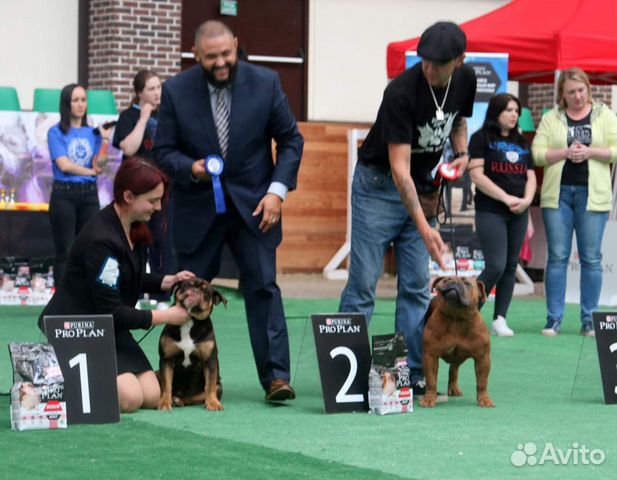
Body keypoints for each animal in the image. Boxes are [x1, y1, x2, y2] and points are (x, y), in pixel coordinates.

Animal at [159, 280, 226, 410]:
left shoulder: (210, 361)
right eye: (187, 285)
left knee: (194, 397)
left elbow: (210, 385)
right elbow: (166, 384)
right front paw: (164, 402)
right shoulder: (167, 360)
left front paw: (213, 403)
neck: (189, 321)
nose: (196, 290)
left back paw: (179, 400)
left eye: (206, 292)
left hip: (219, 386)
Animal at [418, 276, 490, 406]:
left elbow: (482, 382)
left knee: (454, 369)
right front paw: (429, 399)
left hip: (458, 358)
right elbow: (431, 381)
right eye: (446, 280)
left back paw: (454, 388)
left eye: (467, 284)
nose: (454, 282)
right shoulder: (430, 356)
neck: (457, 318)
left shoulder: (483, 358)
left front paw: (485, 400)